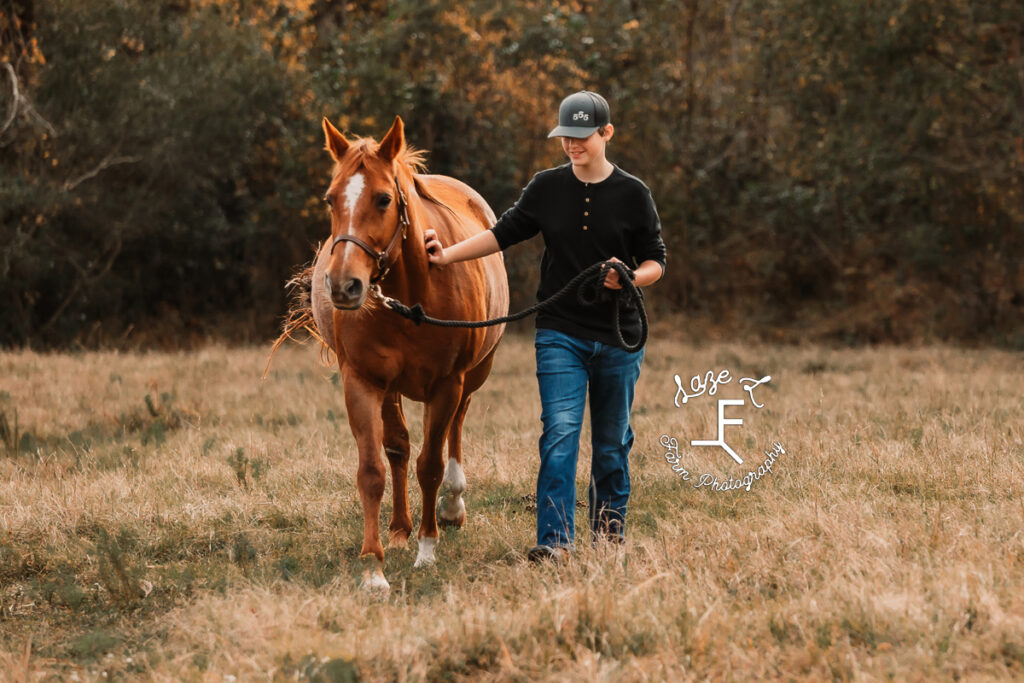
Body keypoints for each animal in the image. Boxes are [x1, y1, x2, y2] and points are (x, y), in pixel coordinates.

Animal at [309, 114, 505, 589]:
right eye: (330, 199)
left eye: (383, 199)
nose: (343, 285)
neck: (412, 294)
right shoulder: (362, 382)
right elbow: (373, 470)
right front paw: (373, 567)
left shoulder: (447, 384)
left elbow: (429, 464)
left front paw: (427, 549)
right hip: (392, 388)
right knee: (397, 448)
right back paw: (399, 529)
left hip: (474, 375)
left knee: (456, 428)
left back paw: (451, 505)